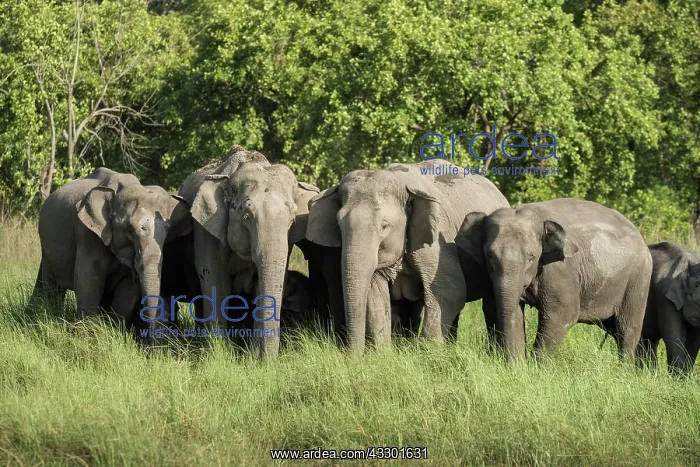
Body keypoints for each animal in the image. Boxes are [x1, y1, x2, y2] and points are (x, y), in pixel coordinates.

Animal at [31, 167, 192, 340]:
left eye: (168, 232)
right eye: (129, 230)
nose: (154, 342)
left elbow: (129, 288)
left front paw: (113, 332)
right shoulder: (86, 233)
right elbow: (89, 278)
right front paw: (88, 335)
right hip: (46, 245)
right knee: (51, 282)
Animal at [177, 145, 319, 358]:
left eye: (291, 220)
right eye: (247, 217)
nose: (267, 360)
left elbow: (263, 282)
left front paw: (253, 355)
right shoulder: (206, 229)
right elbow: (215, 281)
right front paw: (220, 354)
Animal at [305, 161, 509, 354]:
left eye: (385, 226)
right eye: (338, 224)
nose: (352, 358)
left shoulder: (437, 241)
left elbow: (450, 290)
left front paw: (429, 353)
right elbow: (376, 295)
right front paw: (382, 355)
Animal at [456, 198, 653, 361]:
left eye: (531, 257)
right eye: (489, 255)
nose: (511, 361)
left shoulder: (561, 271)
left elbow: (562, 313)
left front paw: (535, 368)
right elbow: (507, 308)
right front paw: (518, 367)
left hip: (637, 279)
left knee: (627, 329)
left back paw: (624, 368)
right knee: (614, 328)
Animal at [637, 242, 700, 376]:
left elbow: (694, 340)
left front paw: (684, 377)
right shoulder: (665, 296)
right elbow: (675, 335)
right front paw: (677, 378)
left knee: (651, 342)